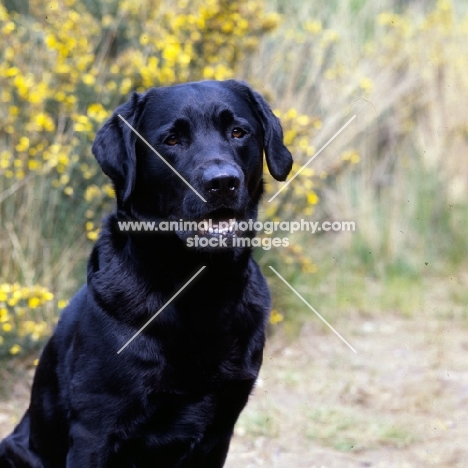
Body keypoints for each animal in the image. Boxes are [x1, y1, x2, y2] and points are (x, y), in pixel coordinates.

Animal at [0, 78, 292, 466]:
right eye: (172, 140)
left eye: (238, 132)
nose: (222, 183)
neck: (198, 289)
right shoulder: (95, 431)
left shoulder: (221, 431)